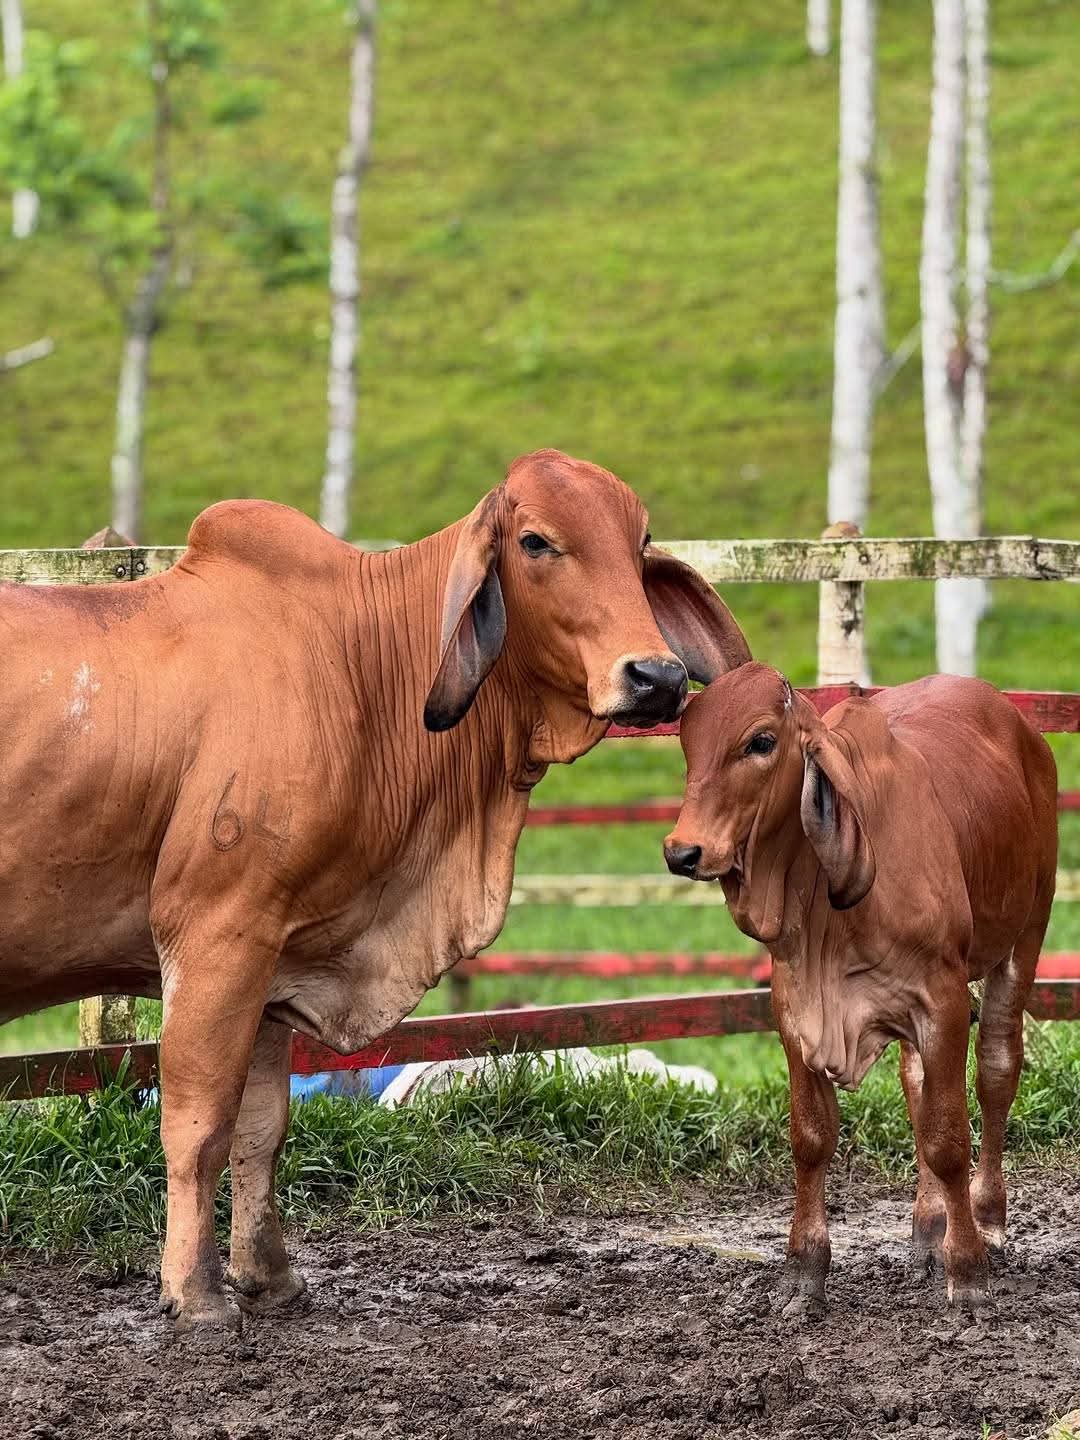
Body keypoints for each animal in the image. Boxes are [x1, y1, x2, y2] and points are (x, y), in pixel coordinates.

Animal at [0, 449, 750, 1331]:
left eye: (640, 545)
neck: (361, 667)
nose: (657, 676)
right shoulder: (219, 931)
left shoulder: (271, 952)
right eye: (535, 541)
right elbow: (200, 1124)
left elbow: (262, 1127)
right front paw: (198, 1294)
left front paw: (269, 1276)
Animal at [663, 663, 1057, 1312]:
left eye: (760, 742)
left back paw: (987, 1219)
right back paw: (928, 1227)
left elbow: (948, 1138)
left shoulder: (944, 1000)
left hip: (1025, 936)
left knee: (997, 1071)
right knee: (917, 1084)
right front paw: (804, 1271)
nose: (682, 851)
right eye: (687, 741)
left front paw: (969, 1270)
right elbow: (812, 1137)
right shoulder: (794, 1009)